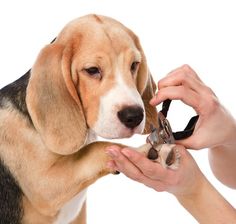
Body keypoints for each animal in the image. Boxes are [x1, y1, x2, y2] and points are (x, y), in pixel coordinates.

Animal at [0, 14, 177, 223]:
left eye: (134, 65)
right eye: (92, 70)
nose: (134, 116)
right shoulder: (44, 185)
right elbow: (96, 148)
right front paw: (144, 152)